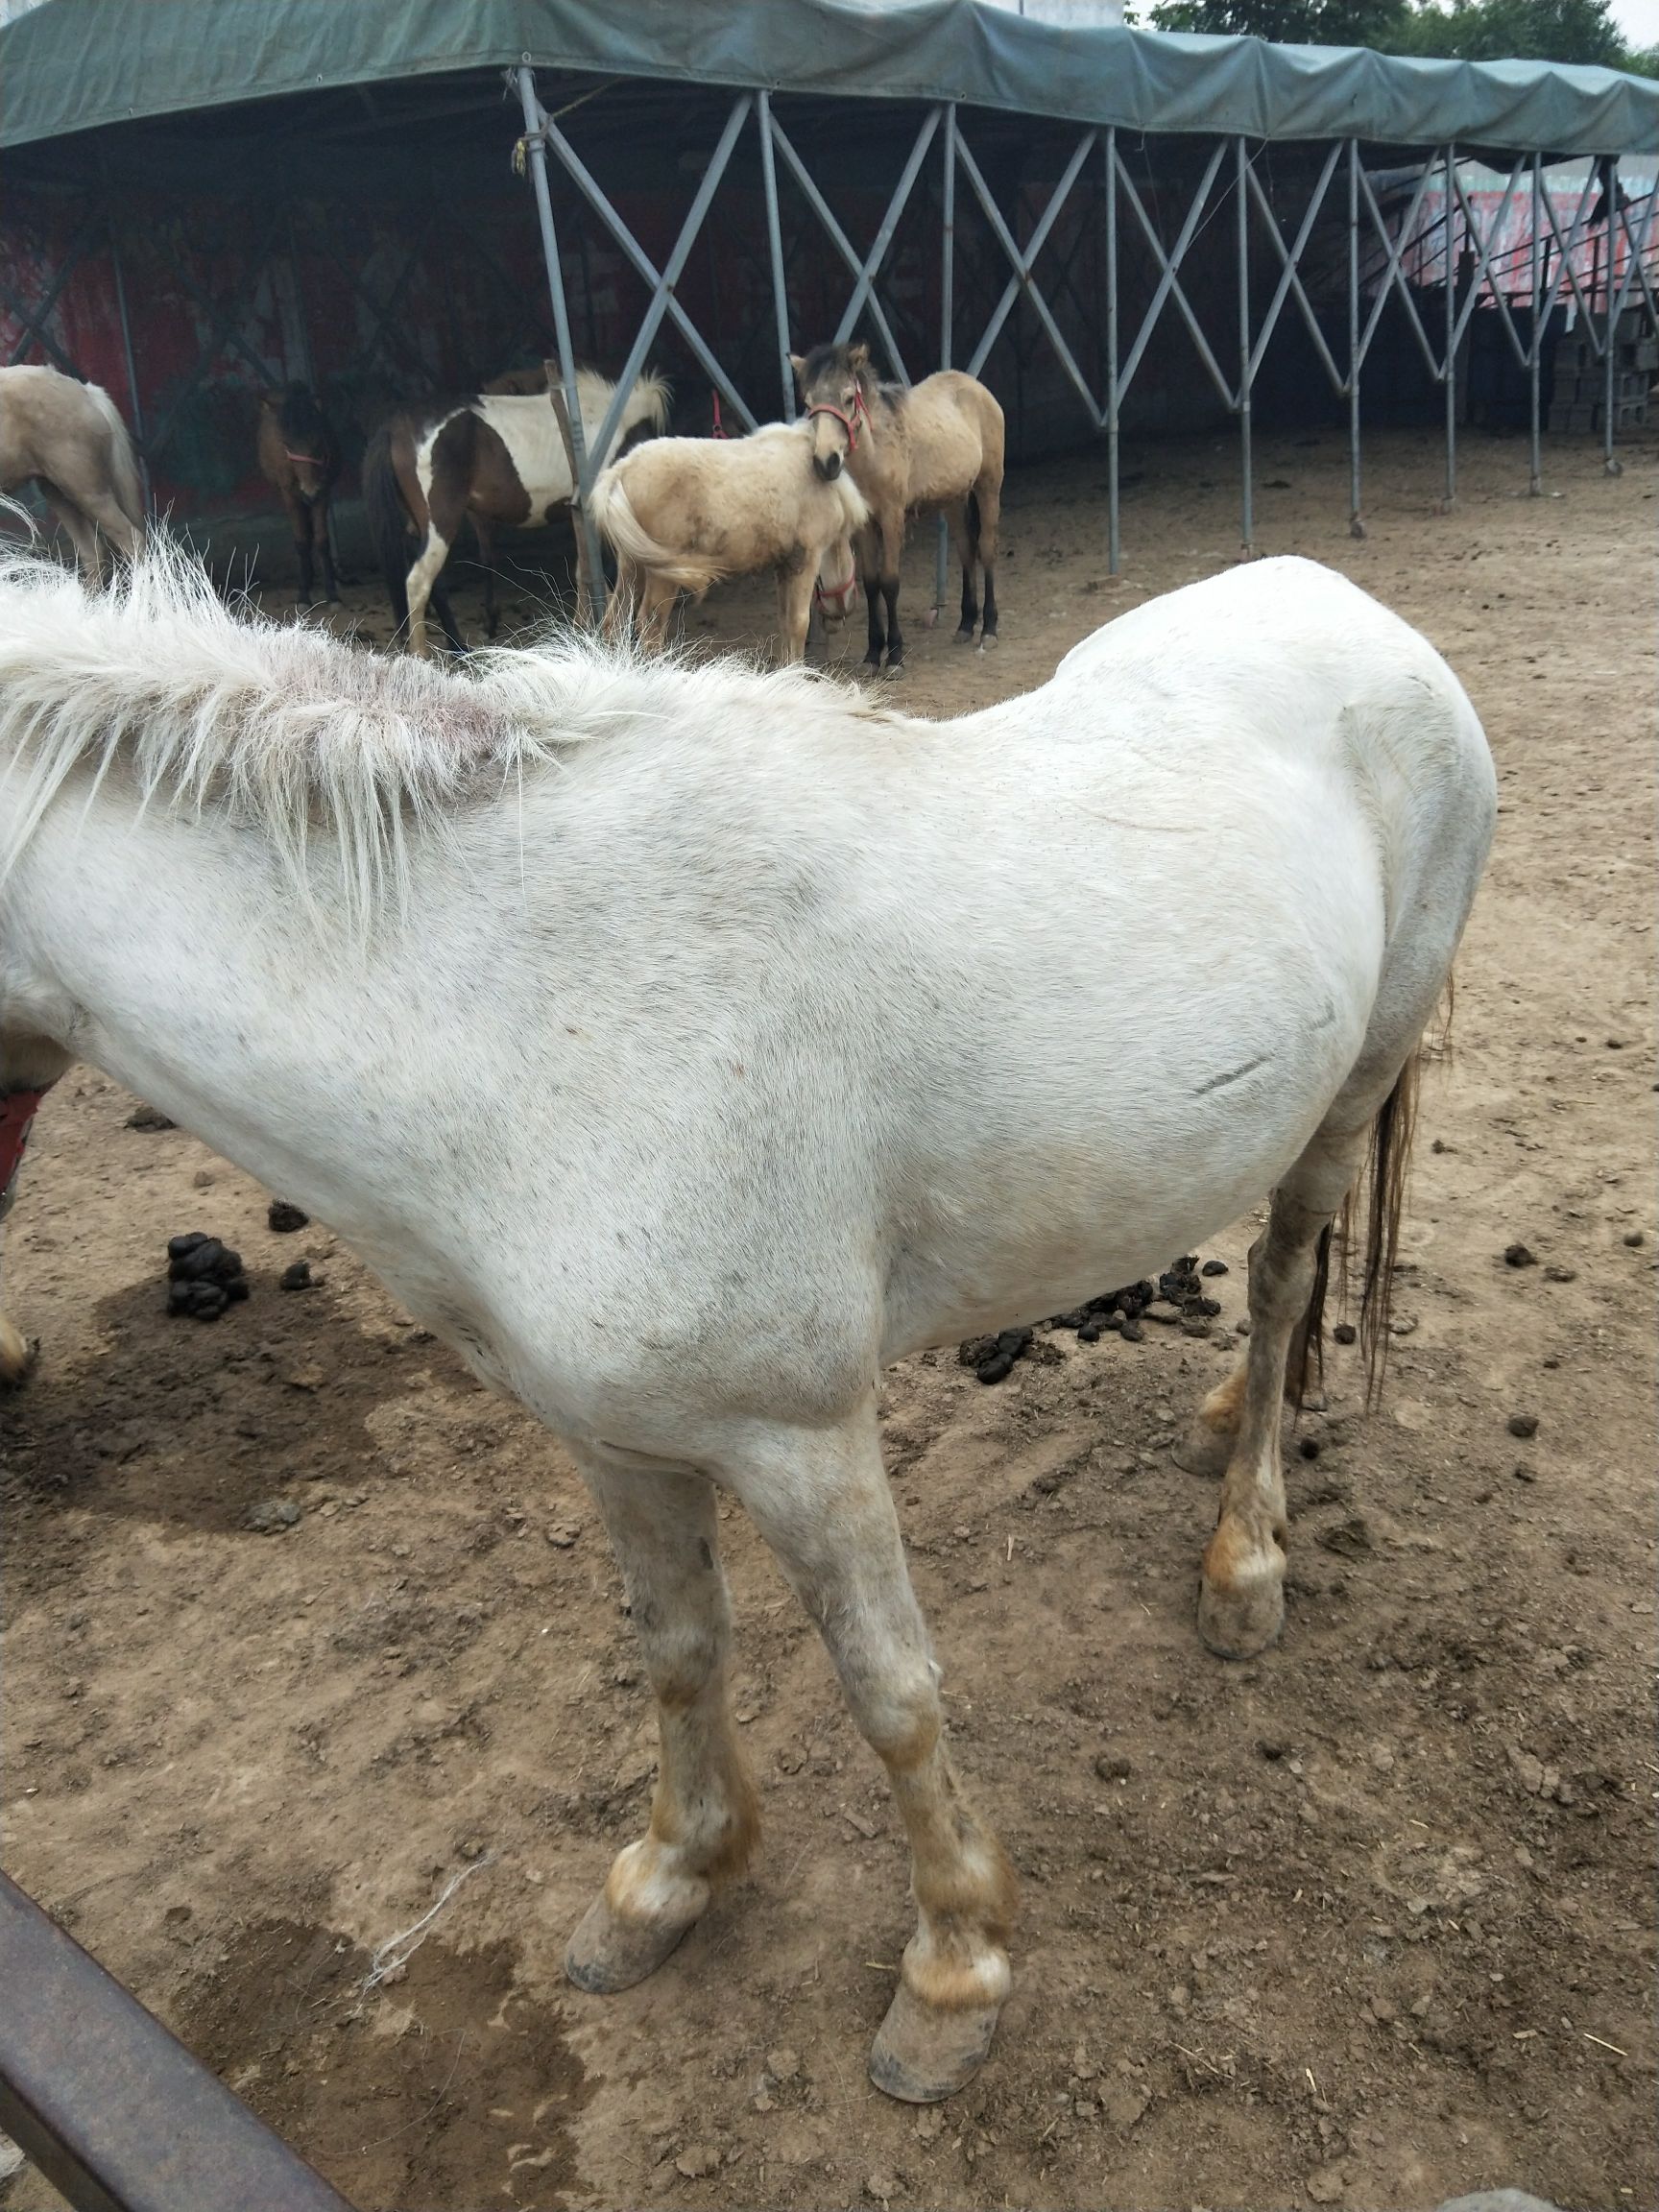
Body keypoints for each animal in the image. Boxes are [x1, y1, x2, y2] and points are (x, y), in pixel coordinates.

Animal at [0, 541, 1494, 2103]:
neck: (507, 1010)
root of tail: (1346, 602)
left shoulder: (801, 1439)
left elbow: (892, 1692)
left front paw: (954, 1966)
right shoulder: (614, 1441)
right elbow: (678, 1650)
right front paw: (671, 1880)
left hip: (1355, 1083)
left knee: (1281, 1280)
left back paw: (1245, 1555)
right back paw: (1218, 1425)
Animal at [256, 382, 341, 608]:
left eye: (319, 441)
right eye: (286, 445)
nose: (309, 492)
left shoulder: (323, 492)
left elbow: (321, 540)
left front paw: (332, 594)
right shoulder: (290, 495)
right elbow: (302, 541)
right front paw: (303, 595)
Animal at [363, 366, 670, 656]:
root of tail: (397, 426)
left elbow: (585, 572)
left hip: (420, 526)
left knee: (433, 584)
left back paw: (458, 648)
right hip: (441, 523)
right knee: (418, 582)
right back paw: (423, 655)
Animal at [590, 420, 866, 663]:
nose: (845, 610)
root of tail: (623, 467)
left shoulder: (783, 566)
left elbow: (784, 622)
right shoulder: (806, 560)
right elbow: (799, 624)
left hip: (633, 565)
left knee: (614, 622)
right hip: (661, 575)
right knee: (651, 625)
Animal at [793, 343, 1004, 675]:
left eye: (848, 398)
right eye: (808, 402)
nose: (826, 462)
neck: (875, 453)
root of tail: (976, 387)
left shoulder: (892, 519)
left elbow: (890, 583)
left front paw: (894, 656)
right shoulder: (865, 527)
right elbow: (871, 584)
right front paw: (871, 655)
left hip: (988, 487)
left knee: (986, 549)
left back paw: (988, 629)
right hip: (954, 500)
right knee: (966, 552)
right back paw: (966, 624)